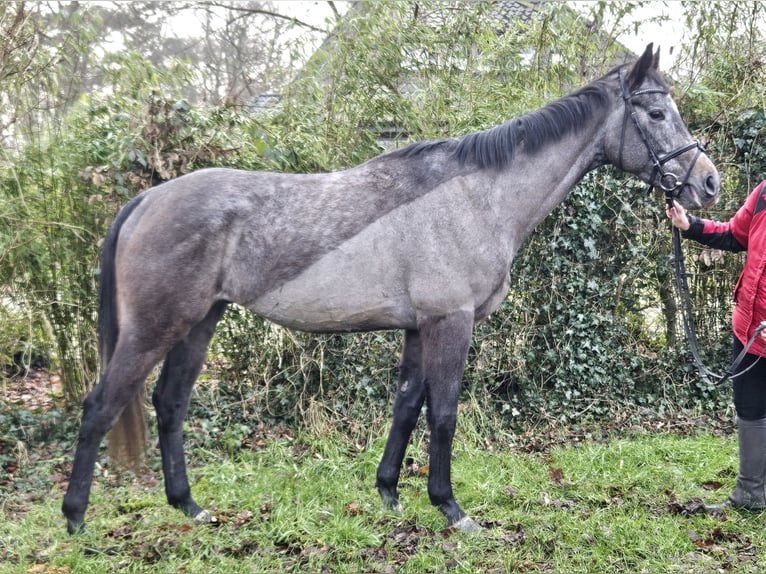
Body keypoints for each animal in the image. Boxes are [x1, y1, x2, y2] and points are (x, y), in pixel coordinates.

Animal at [63, 44, 724, 536]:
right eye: (657, 115)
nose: (709, 184)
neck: (478, 196)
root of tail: (148, 198)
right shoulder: (451, 322)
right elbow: (444, 413)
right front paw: (452, 510)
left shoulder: (415, 327)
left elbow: (406, 407)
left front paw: (389, 495)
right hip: (155, 329)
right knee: (100, 407)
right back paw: (75, 520)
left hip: (199, 323)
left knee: (170, 404)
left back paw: (190, 507)